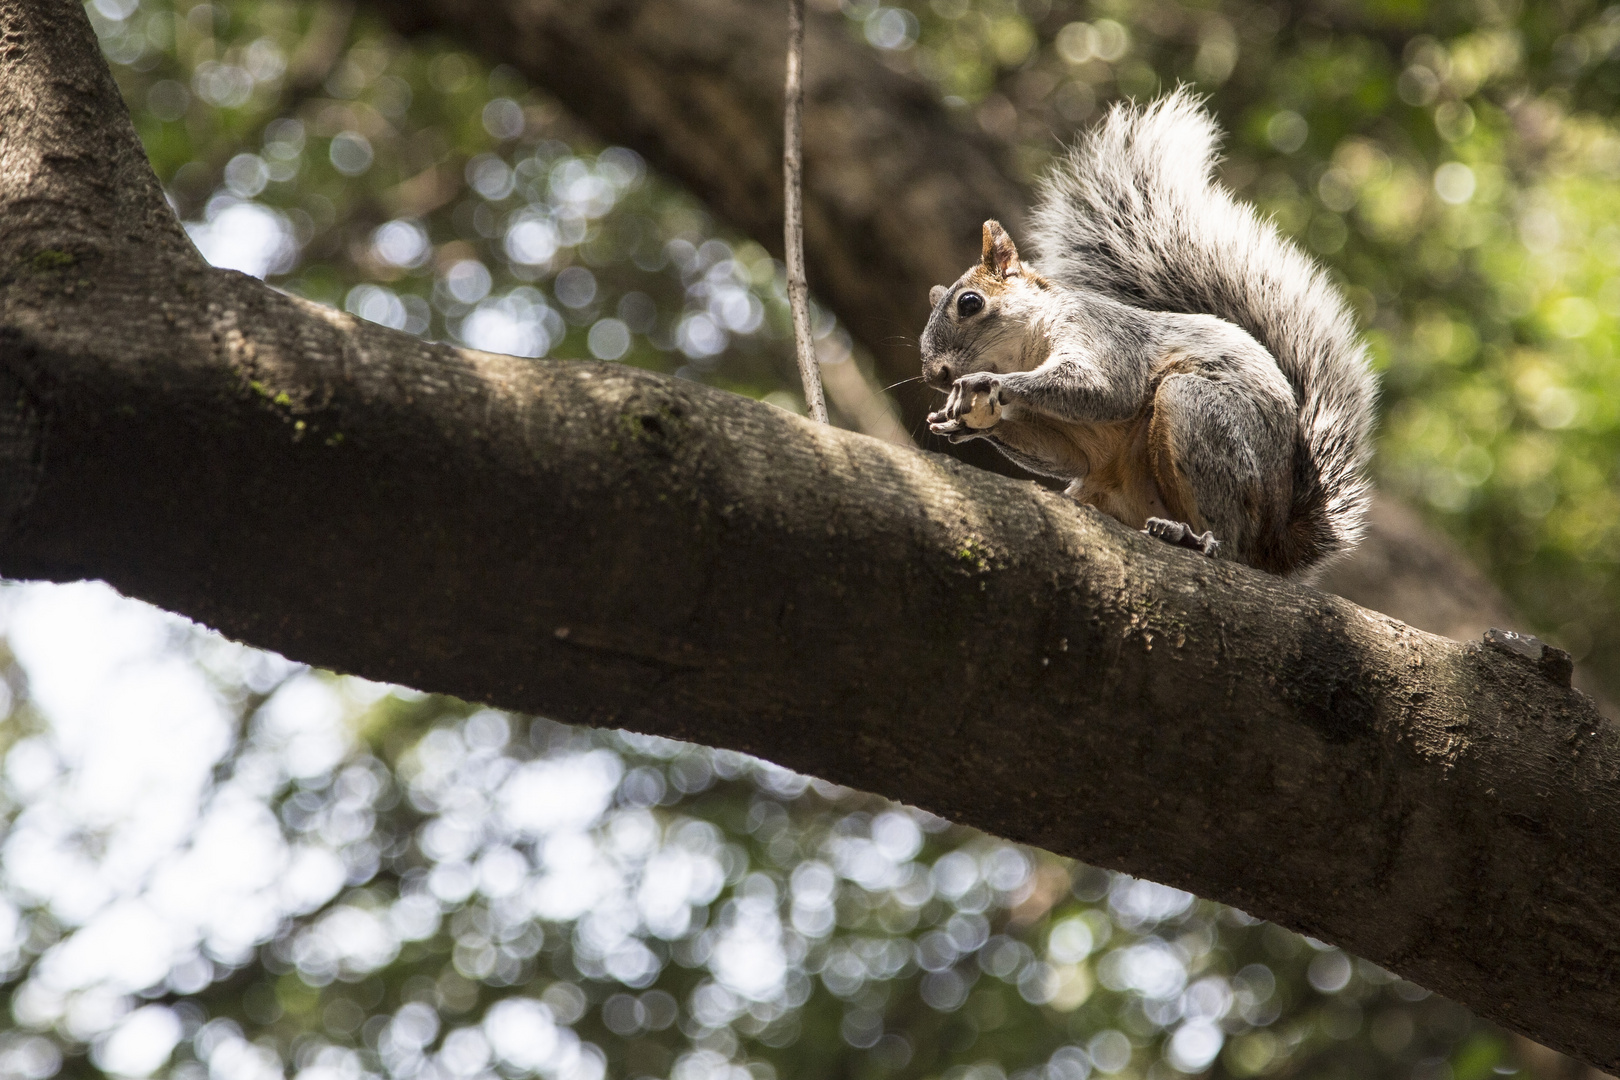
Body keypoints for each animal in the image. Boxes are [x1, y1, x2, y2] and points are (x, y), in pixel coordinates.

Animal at [920, 90, 1373, 582]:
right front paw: (960, 424)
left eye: (969, 303)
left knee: (1229, 541)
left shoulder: (1103, 335)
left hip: (1202, 417)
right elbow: (1065, 454)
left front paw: (988, 383)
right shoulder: (1068, 441)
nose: (935, 376)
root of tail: (1272, 544)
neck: (1027, 349)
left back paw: (1195, 538)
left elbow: (1106, 390)